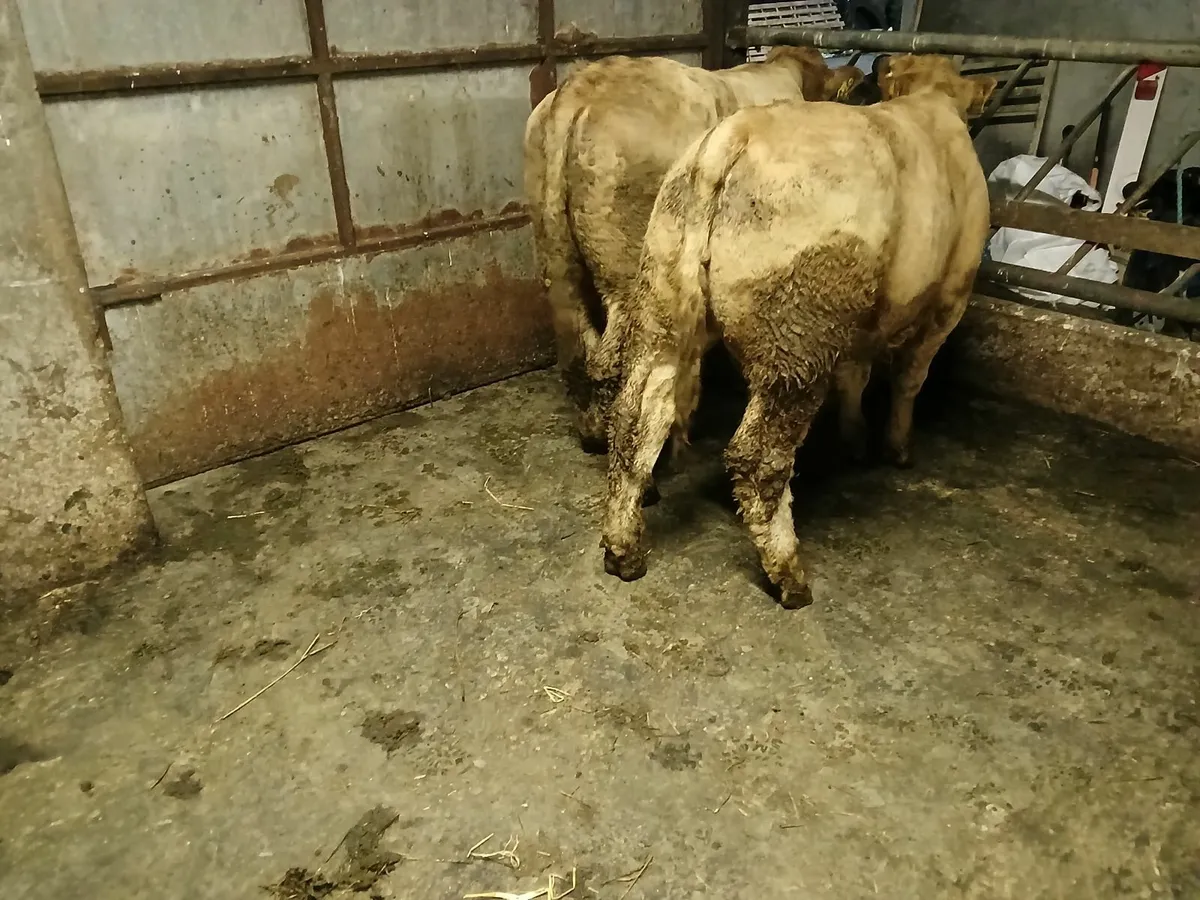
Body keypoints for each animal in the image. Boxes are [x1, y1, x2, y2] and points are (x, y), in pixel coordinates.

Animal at [523, 49, 863, 460]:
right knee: (612, 360)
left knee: (577, 345)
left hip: (556, 258)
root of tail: (581, 86)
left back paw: (592, 433)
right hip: (626, 273)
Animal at [599, 55, 996, 610]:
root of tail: (734, 134)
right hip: (797, 340)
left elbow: (857, 375)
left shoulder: (862, 319)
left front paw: (854, 439)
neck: (932, 102)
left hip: (663, 301)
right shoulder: (950, 297)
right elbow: (908, 380)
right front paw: (897, 448)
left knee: (637, 420)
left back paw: (623, 549)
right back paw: (789, 576)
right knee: (757, 458)